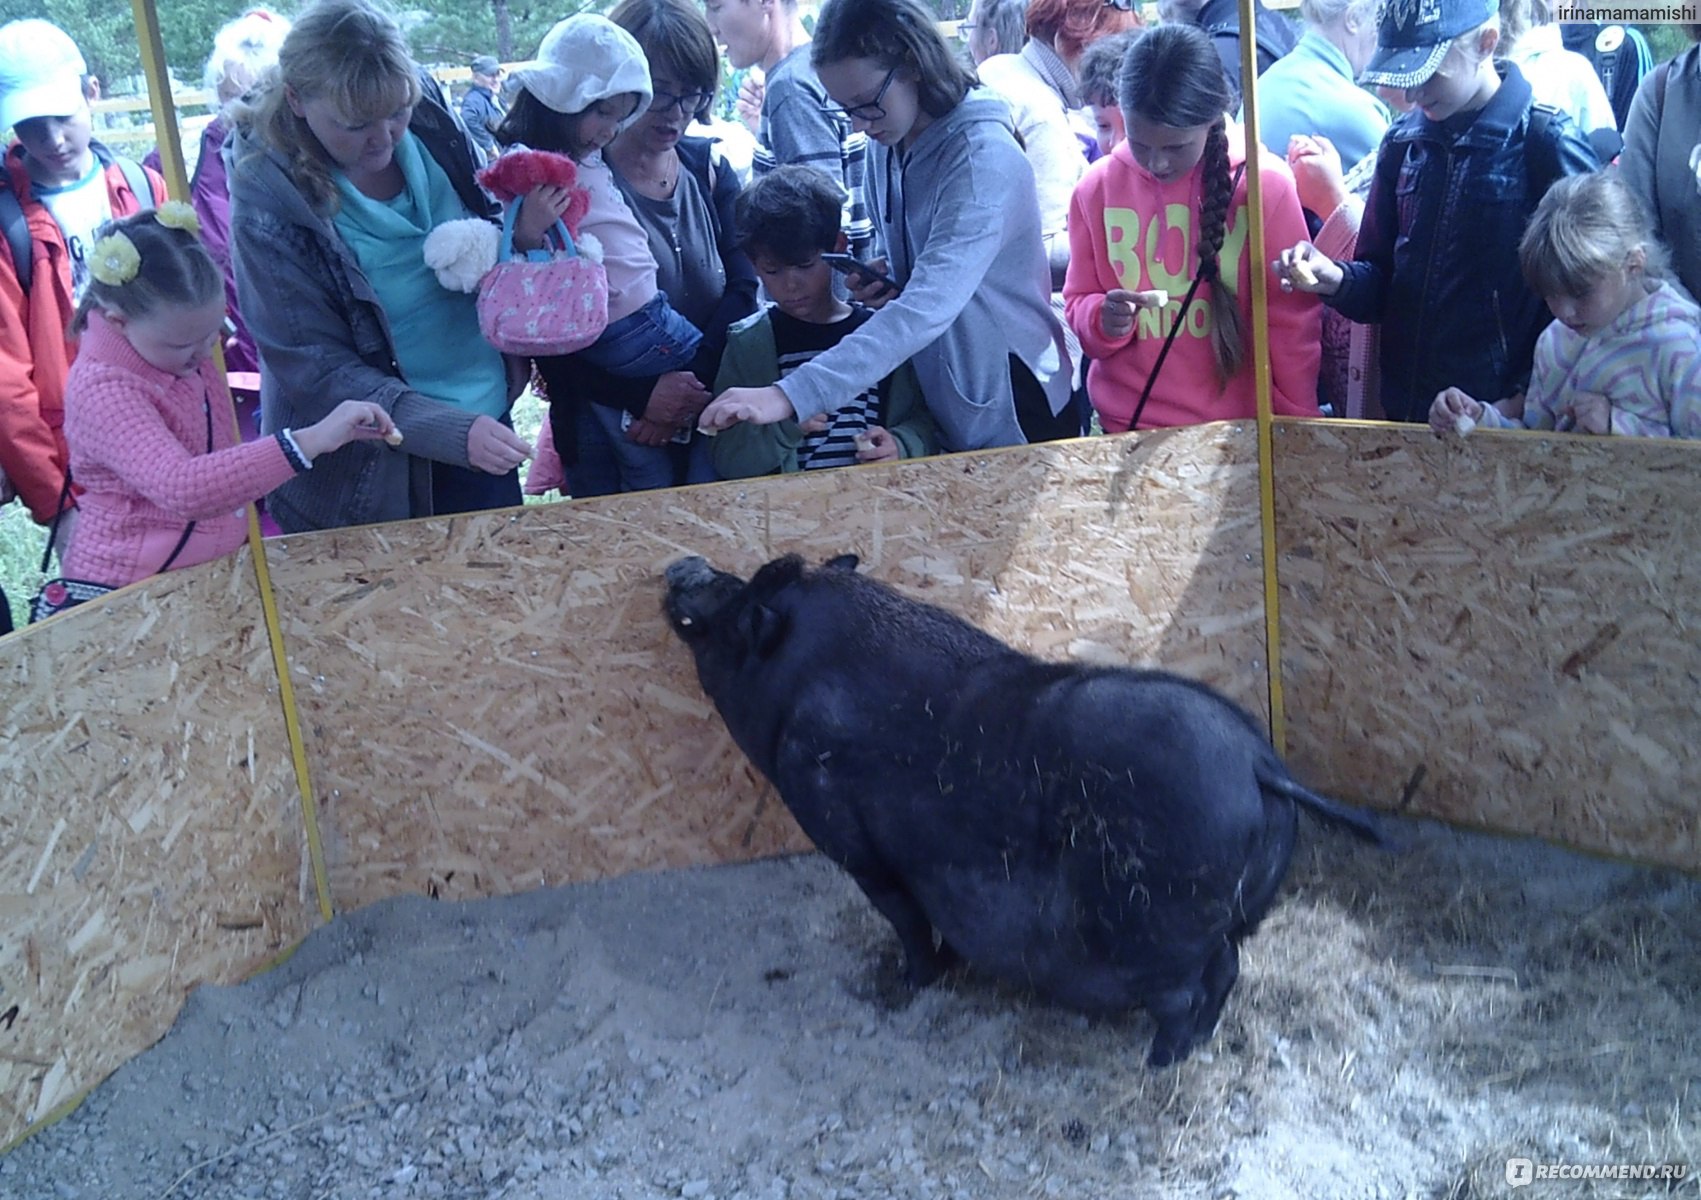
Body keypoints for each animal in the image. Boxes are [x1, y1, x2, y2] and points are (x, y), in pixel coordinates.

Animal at [663, 551, 1381, 1068]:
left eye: (730, 612)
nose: (684, 564)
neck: (799, 683)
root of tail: (1258, 765)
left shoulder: (853, 842)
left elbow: (905, 919)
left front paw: (912, 983)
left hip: (1159, 921)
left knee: (1183, 995)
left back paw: (1158, 1063)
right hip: (1231, 918)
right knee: (1227, 970)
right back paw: (1195, 1046)